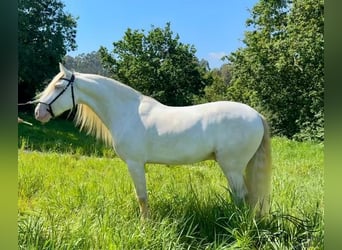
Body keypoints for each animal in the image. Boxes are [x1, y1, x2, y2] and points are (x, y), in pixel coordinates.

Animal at [34, 64, 272, 219]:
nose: (39, 112)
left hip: (232, 167)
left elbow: (142, 197)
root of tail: (256, 115)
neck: (127, 111)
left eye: (58, 87)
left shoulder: (135, 163)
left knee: (242, 196)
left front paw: (145, 225)